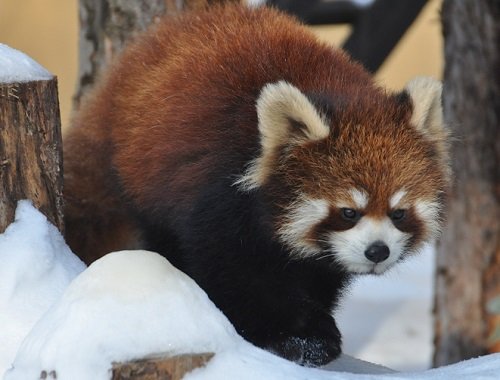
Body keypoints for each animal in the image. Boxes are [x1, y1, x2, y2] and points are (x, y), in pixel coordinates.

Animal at [62, 2, 450, 366]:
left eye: (398, 213)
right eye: (348, 212)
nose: (377, 251)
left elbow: (318, 276)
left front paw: (316, 329)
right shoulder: (217, 197)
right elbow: (235, 274)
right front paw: (289, 334)